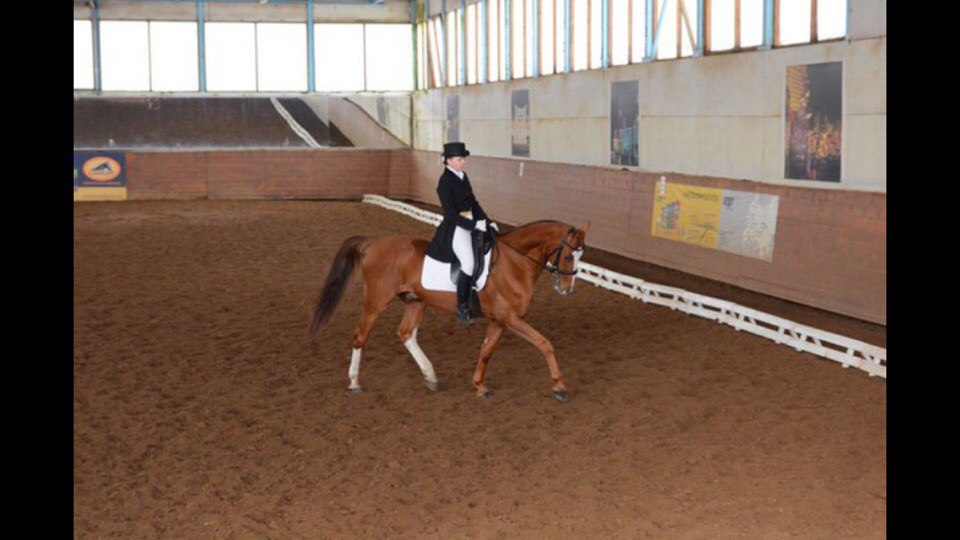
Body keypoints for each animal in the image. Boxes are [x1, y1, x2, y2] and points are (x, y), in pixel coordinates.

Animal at [309, 220, 590, 402]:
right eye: (568, 257)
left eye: (581, 257)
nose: (567, 290)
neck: (514, 263)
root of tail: (373, 243)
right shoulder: (510, 318)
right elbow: (545, 344)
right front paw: (560, 386)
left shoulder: (500, 320)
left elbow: (486, 352)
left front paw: (479, 386)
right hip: (376, 300)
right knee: (360, 336)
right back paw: (354, 382)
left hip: (416, 301)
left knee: (406, 334)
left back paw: (430, 375)